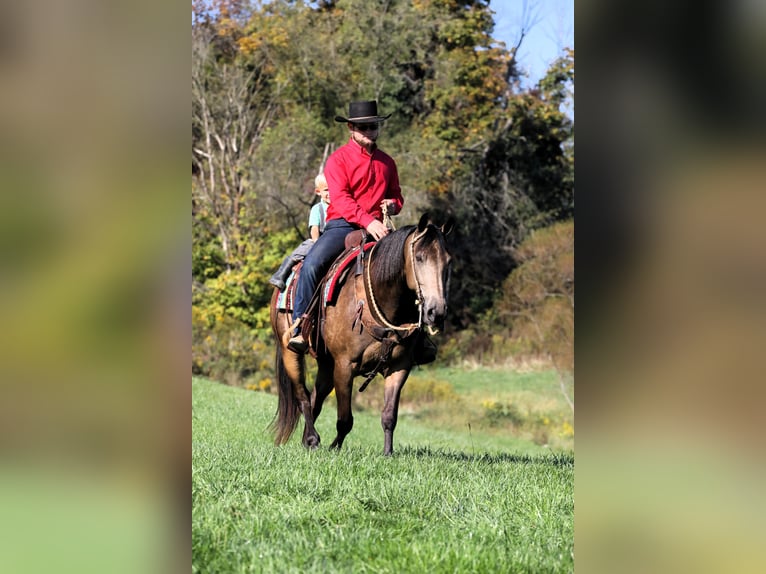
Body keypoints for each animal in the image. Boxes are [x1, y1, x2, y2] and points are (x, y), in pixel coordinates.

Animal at [270, 214, 452, 456]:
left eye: (448, 261)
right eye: (419, 257)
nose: (436, 311)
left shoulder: (400, 366)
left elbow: (389, 416)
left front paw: (387, 453)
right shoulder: (345, 366)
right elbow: (345, 419)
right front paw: (334, 448)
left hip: (327, 364)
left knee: (316, 397)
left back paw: (306, 441)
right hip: (291, 352)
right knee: (303, 396)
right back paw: (311, 439)